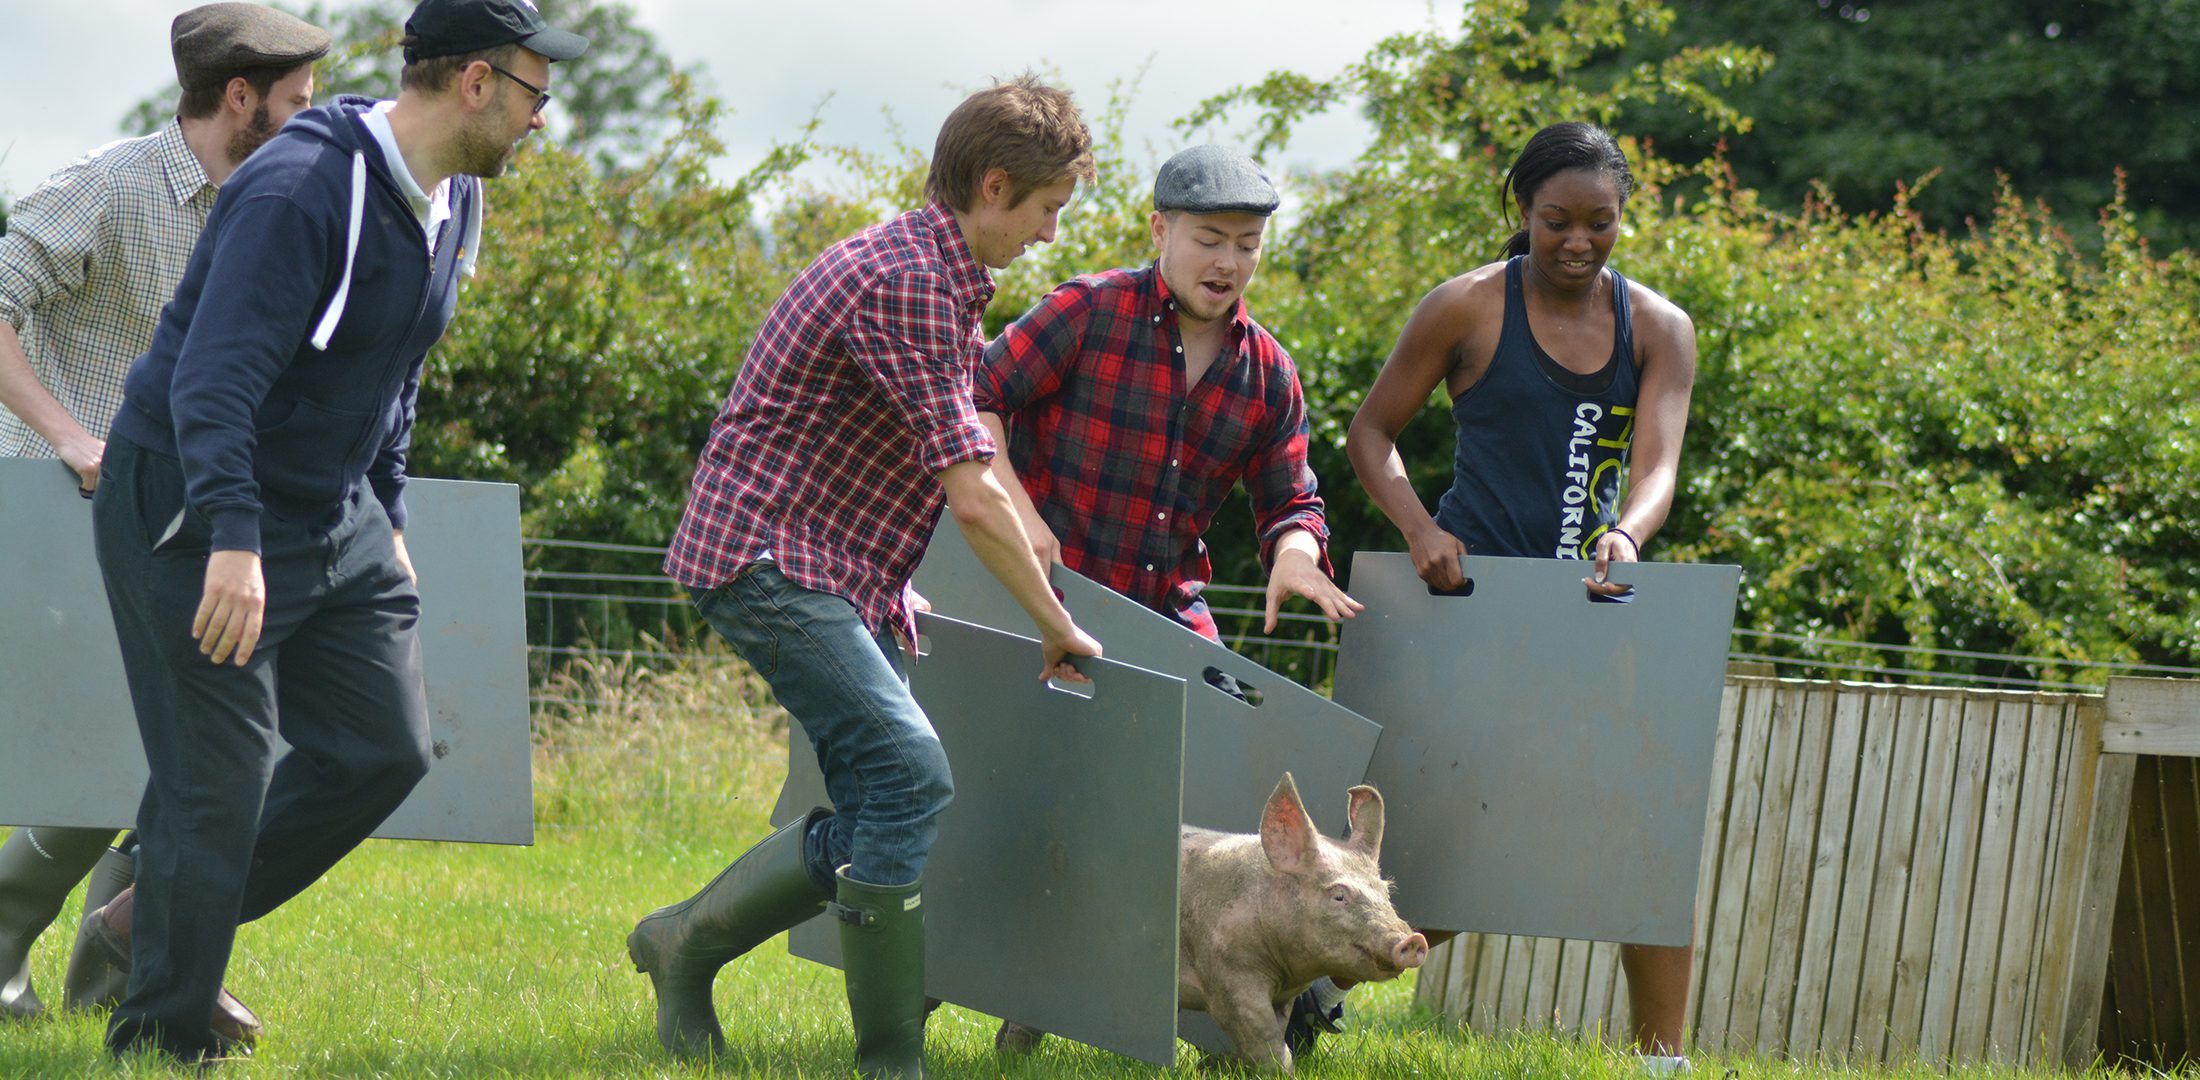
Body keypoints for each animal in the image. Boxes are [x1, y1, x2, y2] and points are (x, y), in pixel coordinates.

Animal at [998, 778, 1425, 1073]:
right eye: (1338, 895)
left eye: (1387, 890)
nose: (1413, 940)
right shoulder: (1228, 970)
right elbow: (1260, 1033)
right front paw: (1278, 1072)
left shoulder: (1285, 992)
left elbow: (1278, 1025)